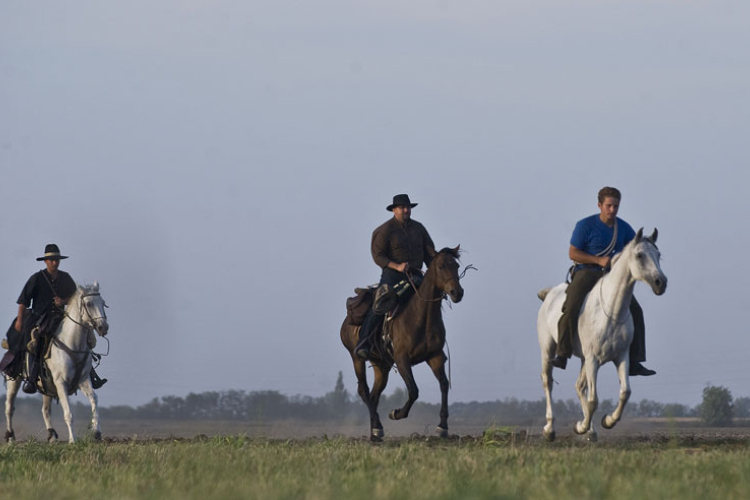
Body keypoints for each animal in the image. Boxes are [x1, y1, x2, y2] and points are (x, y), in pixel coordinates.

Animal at [4, 284, 108, 444]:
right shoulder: (61, 383)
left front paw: (96, 432)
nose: (104, 327)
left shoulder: (83, 380)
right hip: (14, 380)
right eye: (89, 303)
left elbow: (94, 399)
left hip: (46, 386)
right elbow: (68, 413)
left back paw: (52, 435)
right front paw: (72, 440)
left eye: (102, 303)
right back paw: (10, 436)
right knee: (9, 407)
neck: (73, 344)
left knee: (45, 410)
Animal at [344, 246, 468, 442]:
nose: (457, 292)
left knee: (374, 395)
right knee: (363, 390)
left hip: (382, 366)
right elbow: (413, 390)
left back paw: (374, 433)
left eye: (456, 265)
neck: (420, 317)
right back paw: (378, 427)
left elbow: (443, 384)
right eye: (441, 266)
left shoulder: (435, 357)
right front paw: (396, 413)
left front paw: (443, 426)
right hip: (357, 358)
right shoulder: (402, 360)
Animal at [536, 229, 668, 440]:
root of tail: (549, 293)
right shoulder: (593, 359)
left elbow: (625, 392)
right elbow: (593, 400)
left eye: (658, 255)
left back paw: (590, 430)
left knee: (579, 386)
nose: (660, 283)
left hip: (583, 359)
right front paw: (581, 426)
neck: (612, 311)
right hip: (548, 349)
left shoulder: (621, 357)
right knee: (548, 381)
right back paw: (550, 429)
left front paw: (605, 421)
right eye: (640, 255)